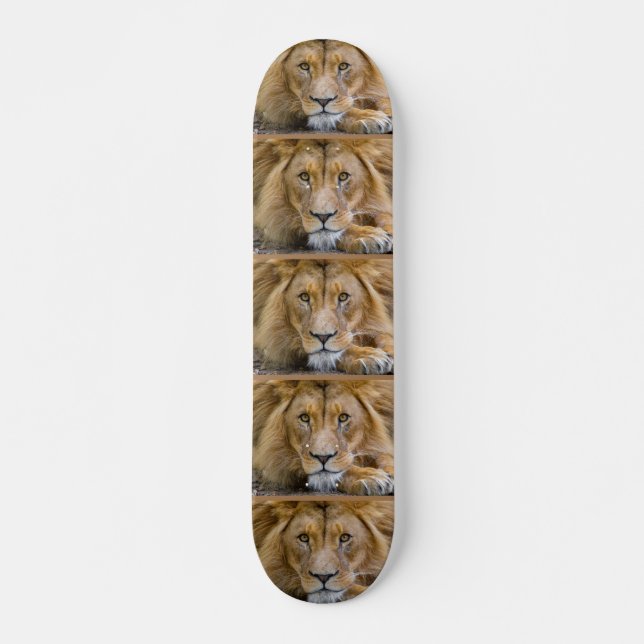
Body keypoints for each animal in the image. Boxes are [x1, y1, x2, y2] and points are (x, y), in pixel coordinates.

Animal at [255, 39, 392, 134]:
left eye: (343, 66)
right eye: (304, 66)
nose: (323, 101)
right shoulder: (276, 102)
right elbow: (344, 111)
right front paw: (371, 118)